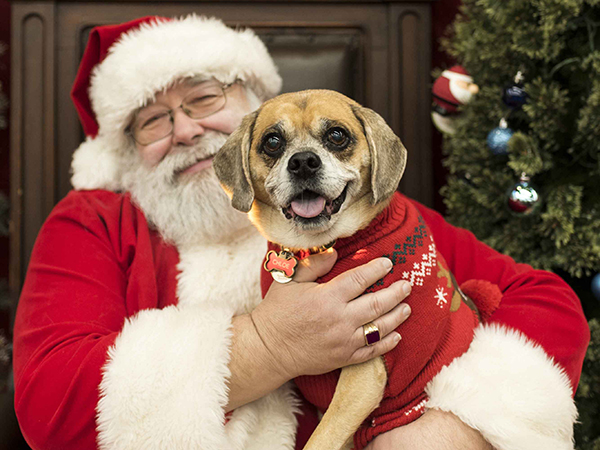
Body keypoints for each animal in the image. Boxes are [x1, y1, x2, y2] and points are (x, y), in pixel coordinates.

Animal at [216, 89, 502, 448]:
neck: (320, 246)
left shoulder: (365, 371)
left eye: (337, 135)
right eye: (272, 142)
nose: (303, 161)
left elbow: (320, 440)